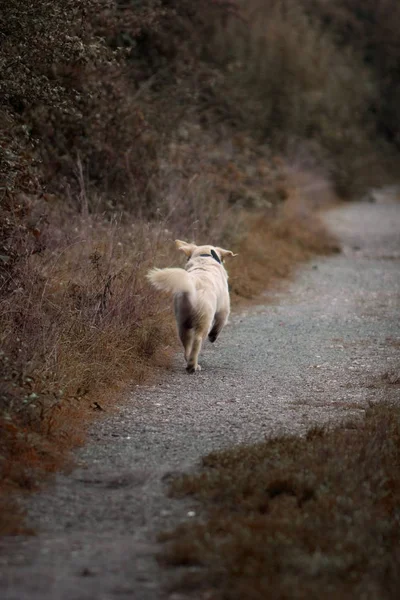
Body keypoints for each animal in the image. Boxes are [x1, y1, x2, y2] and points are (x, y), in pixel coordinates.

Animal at [149, 238, 238, 370]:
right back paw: (193, 365)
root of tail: (192, 285)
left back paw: (190, 362)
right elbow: (219, 325)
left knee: (187, 345)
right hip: (204, 320)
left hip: (182, 322)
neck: (204, 258)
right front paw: (213, 336)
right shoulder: (224, 309)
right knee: (197, 340)